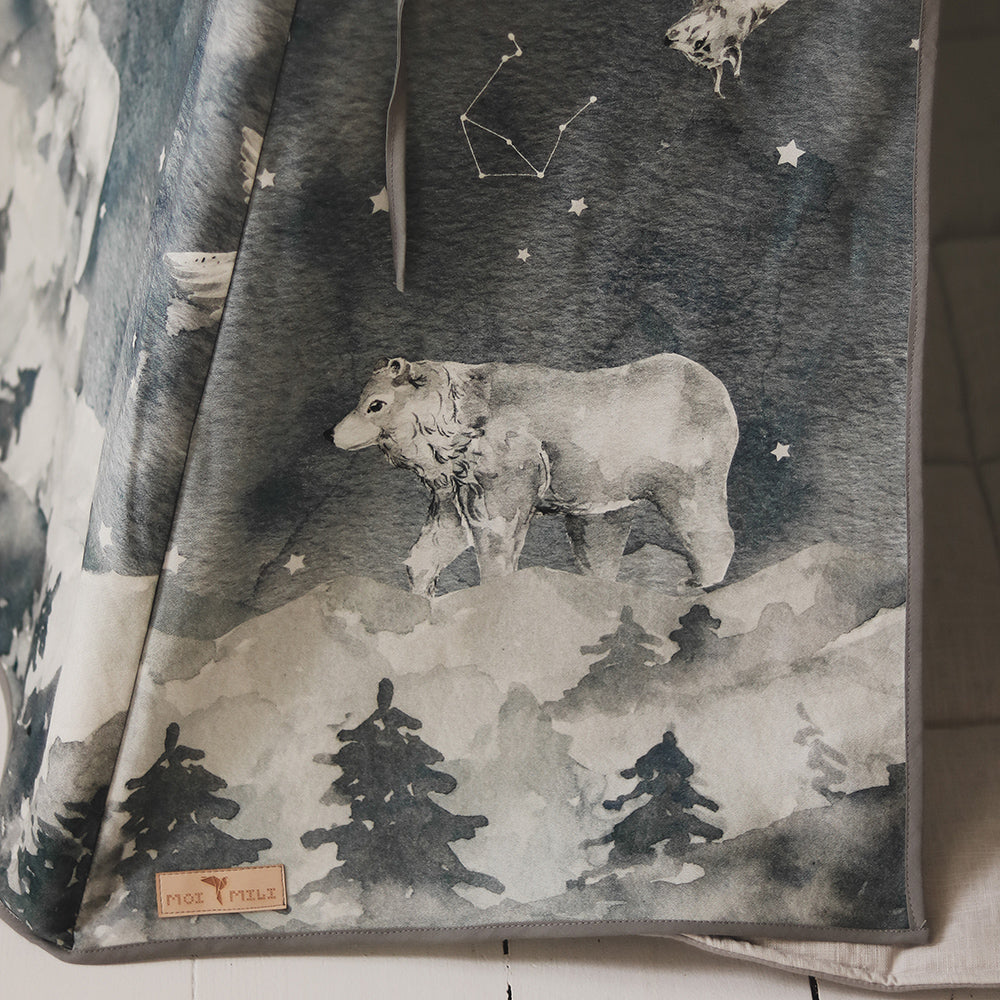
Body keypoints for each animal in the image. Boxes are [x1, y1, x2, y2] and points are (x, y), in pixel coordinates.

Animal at [328, 354, 738, 597]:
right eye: (363, 399)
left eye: (375, 404)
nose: (332, 433)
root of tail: (716, 387)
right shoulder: (455, 480)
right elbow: (440, 536)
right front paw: (421, 593)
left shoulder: (506, 463)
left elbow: (497, 530)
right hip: (607, 483)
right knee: (600, 535)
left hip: (682, 465)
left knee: (700, 520)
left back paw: (701, 581)